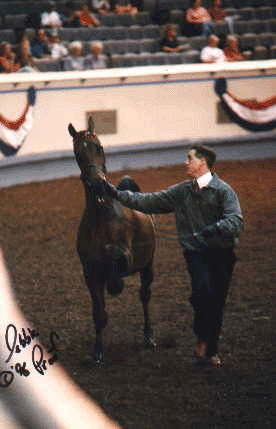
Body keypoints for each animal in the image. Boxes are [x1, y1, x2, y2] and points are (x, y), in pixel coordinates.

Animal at [68, 117, 156, 364]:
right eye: (78, 154)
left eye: (99, 147)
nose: (98, 183)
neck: (102, 216)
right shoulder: (89, 272)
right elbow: (98, 313)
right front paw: (98, 352)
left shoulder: (127, 255)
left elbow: (114, 256)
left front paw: (116, 285)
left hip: (148, 267)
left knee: (145, 296)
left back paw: (148, 337)